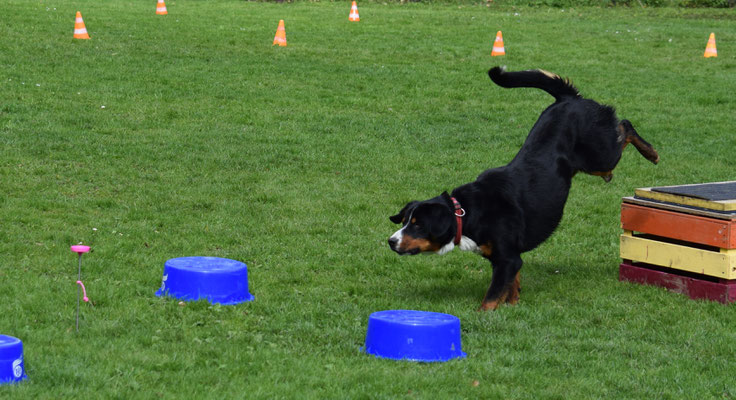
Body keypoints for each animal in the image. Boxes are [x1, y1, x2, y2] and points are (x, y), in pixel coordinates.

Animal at [388, 66, 660, 310]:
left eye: (418, 225)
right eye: (405, 221)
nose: (391, 241)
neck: (467, 213)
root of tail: (570, 99)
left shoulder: (506, 259)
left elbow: (491, 297)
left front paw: (482, 317)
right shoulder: (509, 257)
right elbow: (511, 286)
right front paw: (514, 305)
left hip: (600, 154)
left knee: (624, 126)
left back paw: (651, 153)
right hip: (595, 163)